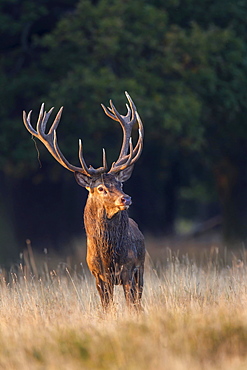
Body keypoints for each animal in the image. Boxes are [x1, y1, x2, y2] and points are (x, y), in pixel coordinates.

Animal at [22, 92, 146, 310]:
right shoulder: (98, 275)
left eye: (120, 184)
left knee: (138, 302)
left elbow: (131, 306)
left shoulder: (129, 270)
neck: (108, 257)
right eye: (101, 188)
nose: (126, 198)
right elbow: (106, 308)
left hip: (142, 270)